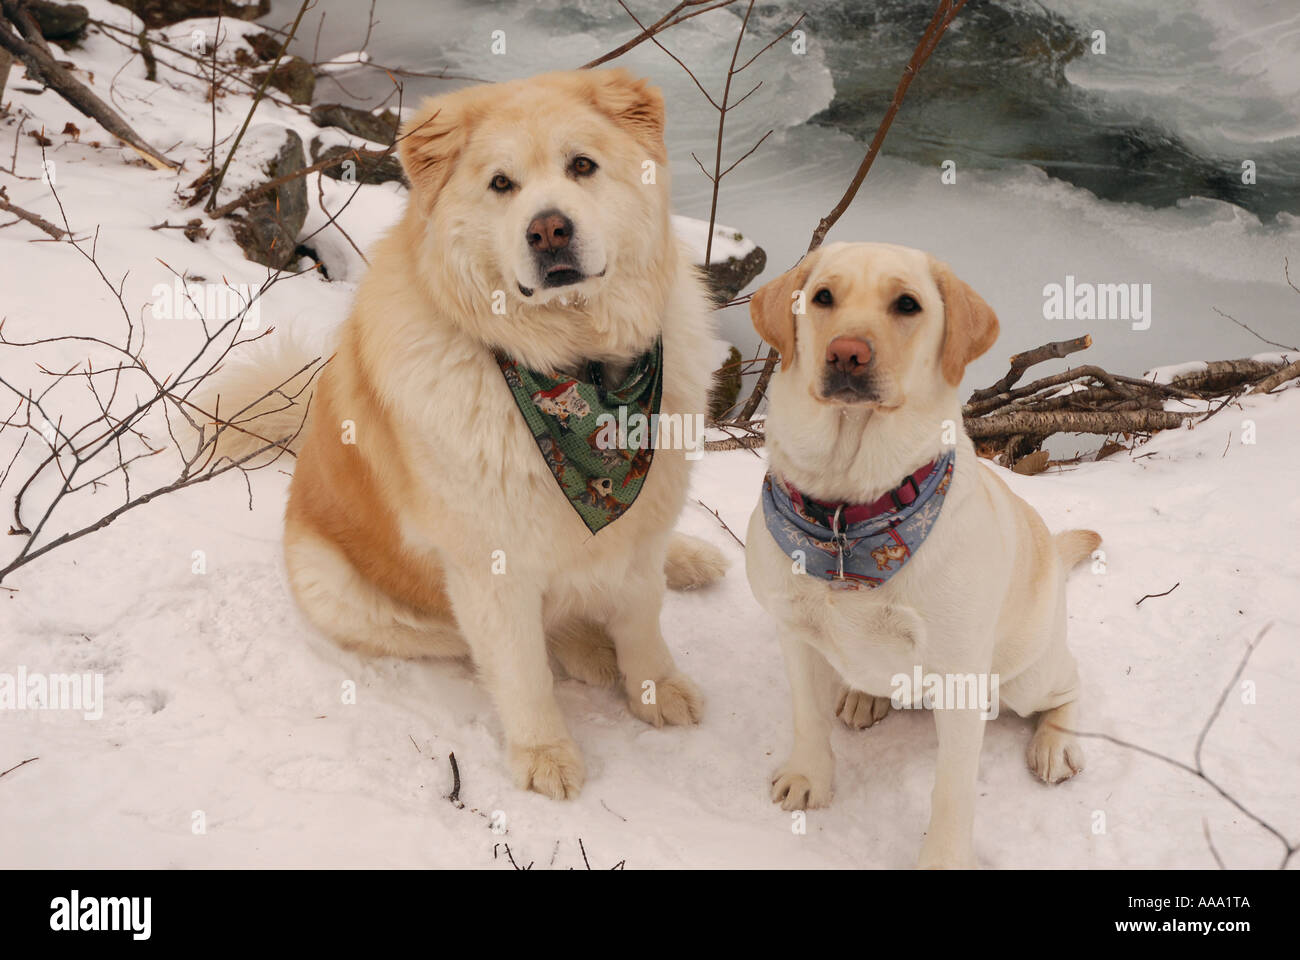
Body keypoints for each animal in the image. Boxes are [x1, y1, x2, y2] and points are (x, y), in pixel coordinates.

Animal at [219, 70, 738, 796]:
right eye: (501, 184)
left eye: (582, 166)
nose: (549, 230)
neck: (573, 369)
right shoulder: (490, 569)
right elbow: (522, 669)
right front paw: (545, 753)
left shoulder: (637, 533)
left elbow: (642, 620)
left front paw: (656, 687)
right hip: (348, 591)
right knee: (505, 636)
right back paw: (584, 648)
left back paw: (686, 561)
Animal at [743, 240, 1097, 868]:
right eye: (822, 297)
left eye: (907, 304)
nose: (847, 353)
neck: (847, 520)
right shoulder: (795, 633)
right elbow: (807, 717)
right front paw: (809, 778)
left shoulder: (958, 675)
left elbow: (951, 789)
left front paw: (943, 858)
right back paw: (864, 697)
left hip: (1024, 674)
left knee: (1069, 683)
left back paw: (1055, 744)